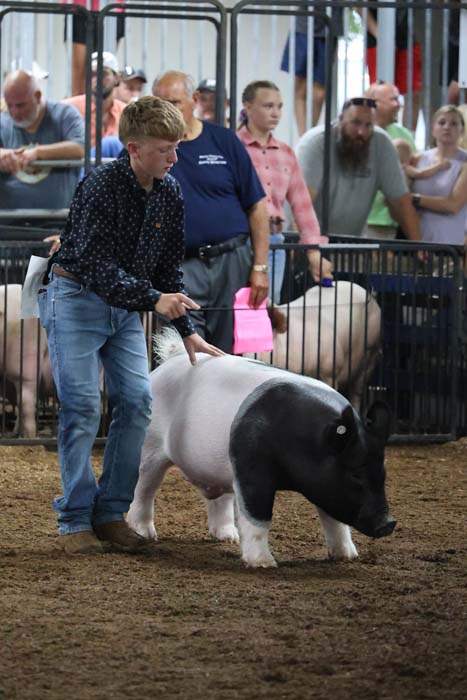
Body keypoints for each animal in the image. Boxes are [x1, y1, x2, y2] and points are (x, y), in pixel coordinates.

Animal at [127, 328, 395, 568]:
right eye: (355, 474)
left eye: (383, 473)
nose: (389, 523)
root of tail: (171, 360)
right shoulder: (252, 468)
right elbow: (258, 517)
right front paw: (264, 564)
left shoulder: (324, 482)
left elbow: (334, 520)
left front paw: (348, 556)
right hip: (150, 445)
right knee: (144, 488)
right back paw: (145, 533)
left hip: (219, 464)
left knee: (221, 499)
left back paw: (228, 537)